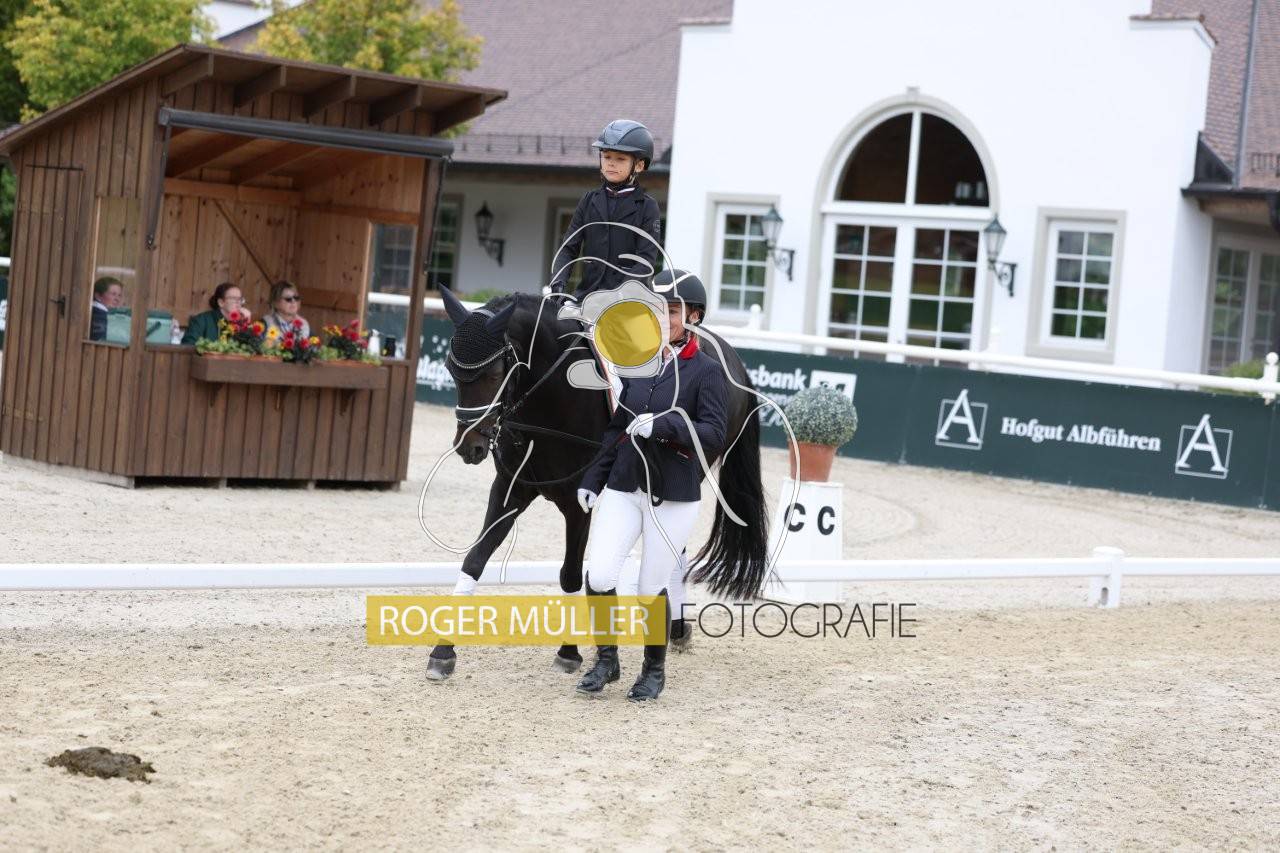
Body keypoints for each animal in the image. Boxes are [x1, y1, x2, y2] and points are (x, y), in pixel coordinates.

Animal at [424, 285, 769, 681]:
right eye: (451, 371)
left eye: (496, 374)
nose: (470, 448)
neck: (550, 399)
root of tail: (730, 354)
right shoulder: (511, 488)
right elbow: (475, 559)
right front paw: (443, 652)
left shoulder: (577, 503)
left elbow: (571, 575)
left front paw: (569, 652)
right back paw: (676, 628)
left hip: (686, 473)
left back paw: (675, 627)